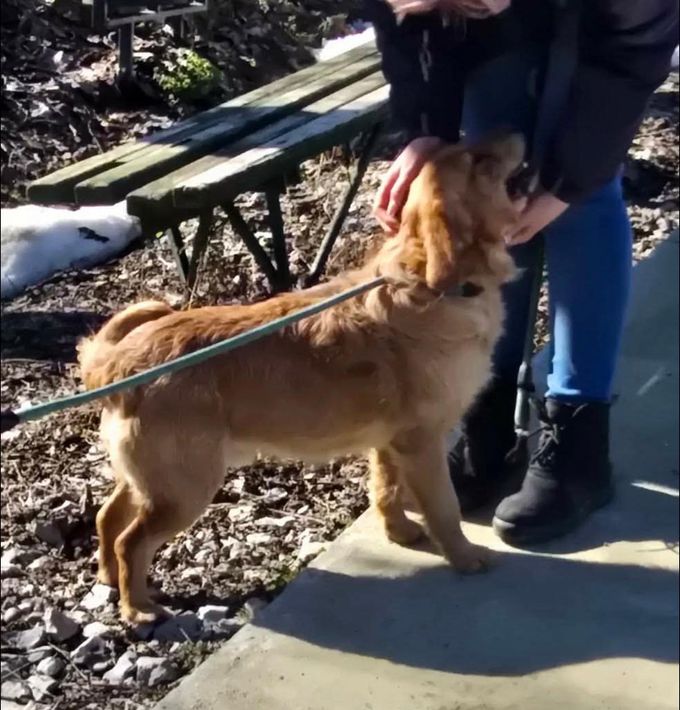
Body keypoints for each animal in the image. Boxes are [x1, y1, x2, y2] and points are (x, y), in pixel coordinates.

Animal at [78, 134, 525, 623]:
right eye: (477, 160)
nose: (518, 132)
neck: (431, 284)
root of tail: (119, 361)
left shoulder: (390, 441)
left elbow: (386, 489)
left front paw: (400, 532)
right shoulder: (422, 441)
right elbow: (445, 508)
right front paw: (464, 556)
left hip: (149, 478)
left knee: (107, 517)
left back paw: (108, 578)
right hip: (184, 486)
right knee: (131, 541)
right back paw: (137, 607)